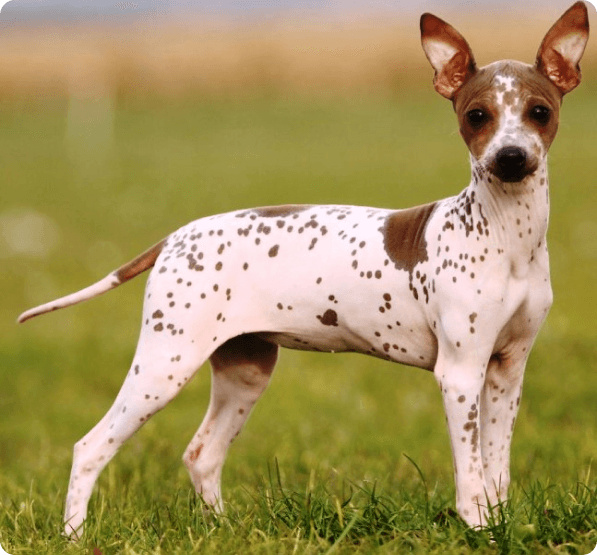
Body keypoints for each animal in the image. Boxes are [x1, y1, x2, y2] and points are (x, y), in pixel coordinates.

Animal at [17, 1, 588, 540]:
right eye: (477, 116)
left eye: (539, 112)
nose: (510, 157)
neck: (506, 236)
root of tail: (175, 238)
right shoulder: (461, 374)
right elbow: (470, 475)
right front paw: (477, 530)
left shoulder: (506, 372)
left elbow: (496, 470)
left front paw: (501, 524)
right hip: (165, 365)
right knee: (90, 448)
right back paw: (74, 535)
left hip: (245, 370)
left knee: (202, 454)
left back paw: (222, 529)